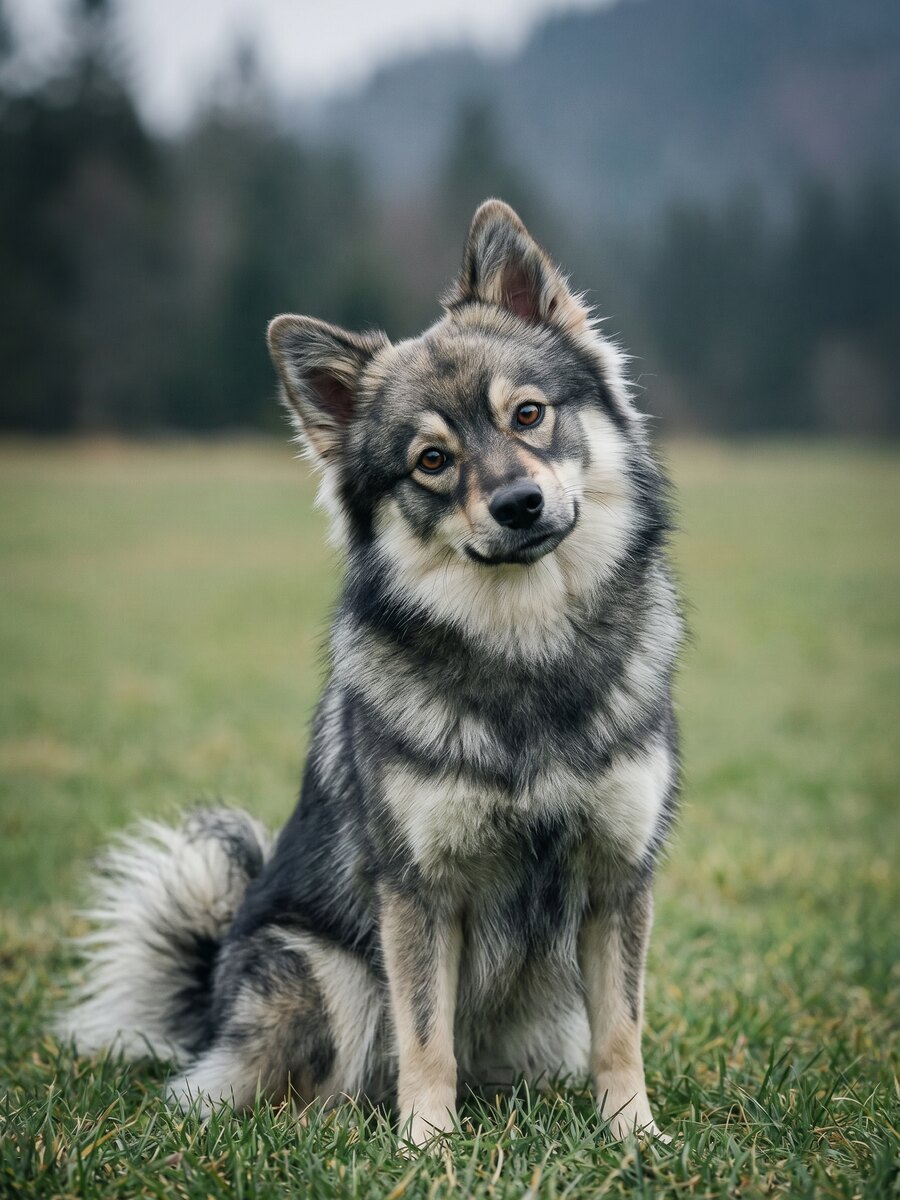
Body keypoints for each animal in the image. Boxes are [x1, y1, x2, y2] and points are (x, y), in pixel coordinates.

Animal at [59, 200, 683, 1148]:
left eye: (529, 414)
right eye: (431, 460)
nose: (519, 505)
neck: (524, 645)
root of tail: (208, 1009)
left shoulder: (616, 879)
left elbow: (622, 1030)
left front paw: (635, 1138)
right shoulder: (418, 895)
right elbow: (426, 1036)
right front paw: (427, 1145)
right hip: (321, 972)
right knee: (288, 1089)